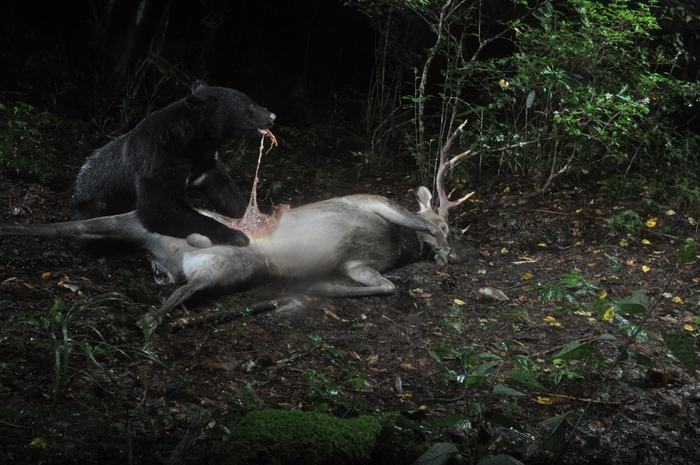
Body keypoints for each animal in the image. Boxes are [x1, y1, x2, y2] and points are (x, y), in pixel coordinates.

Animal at [72, 82, 276, 246]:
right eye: (250, 105)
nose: (272, 116)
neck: (196, 143)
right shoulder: (157, 160)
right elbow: (159, 207)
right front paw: (236, 235)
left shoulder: (206, 162)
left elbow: (224, 191)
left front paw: (263, 212)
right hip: (90, 203)